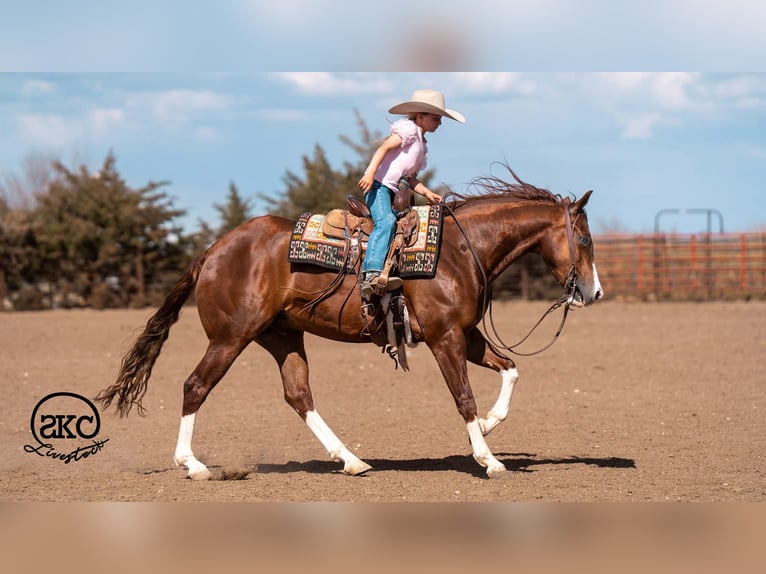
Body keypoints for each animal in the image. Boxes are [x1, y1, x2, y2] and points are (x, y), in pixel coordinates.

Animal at [96, 169, 604, 479]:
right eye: (583, 239)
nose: (593, 292)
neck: (460, 250)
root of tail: (213, 249)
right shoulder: (445, 338)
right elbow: (463, 397)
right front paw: (488, 458)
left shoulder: (467, 335)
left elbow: (511, 368)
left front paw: (490, 425)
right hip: (230, 337)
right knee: (195, 386)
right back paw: (193, 464)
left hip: (282, 336)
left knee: (298, 395)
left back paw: (352, 459)